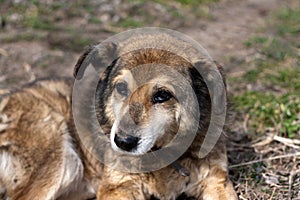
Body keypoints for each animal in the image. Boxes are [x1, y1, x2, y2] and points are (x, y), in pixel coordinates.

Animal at [0, 30, 237, 199]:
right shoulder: (118, 186)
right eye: (121, 88)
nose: (123, 142)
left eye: (162, 95)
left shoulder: (217, 181)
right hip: (59, 161)